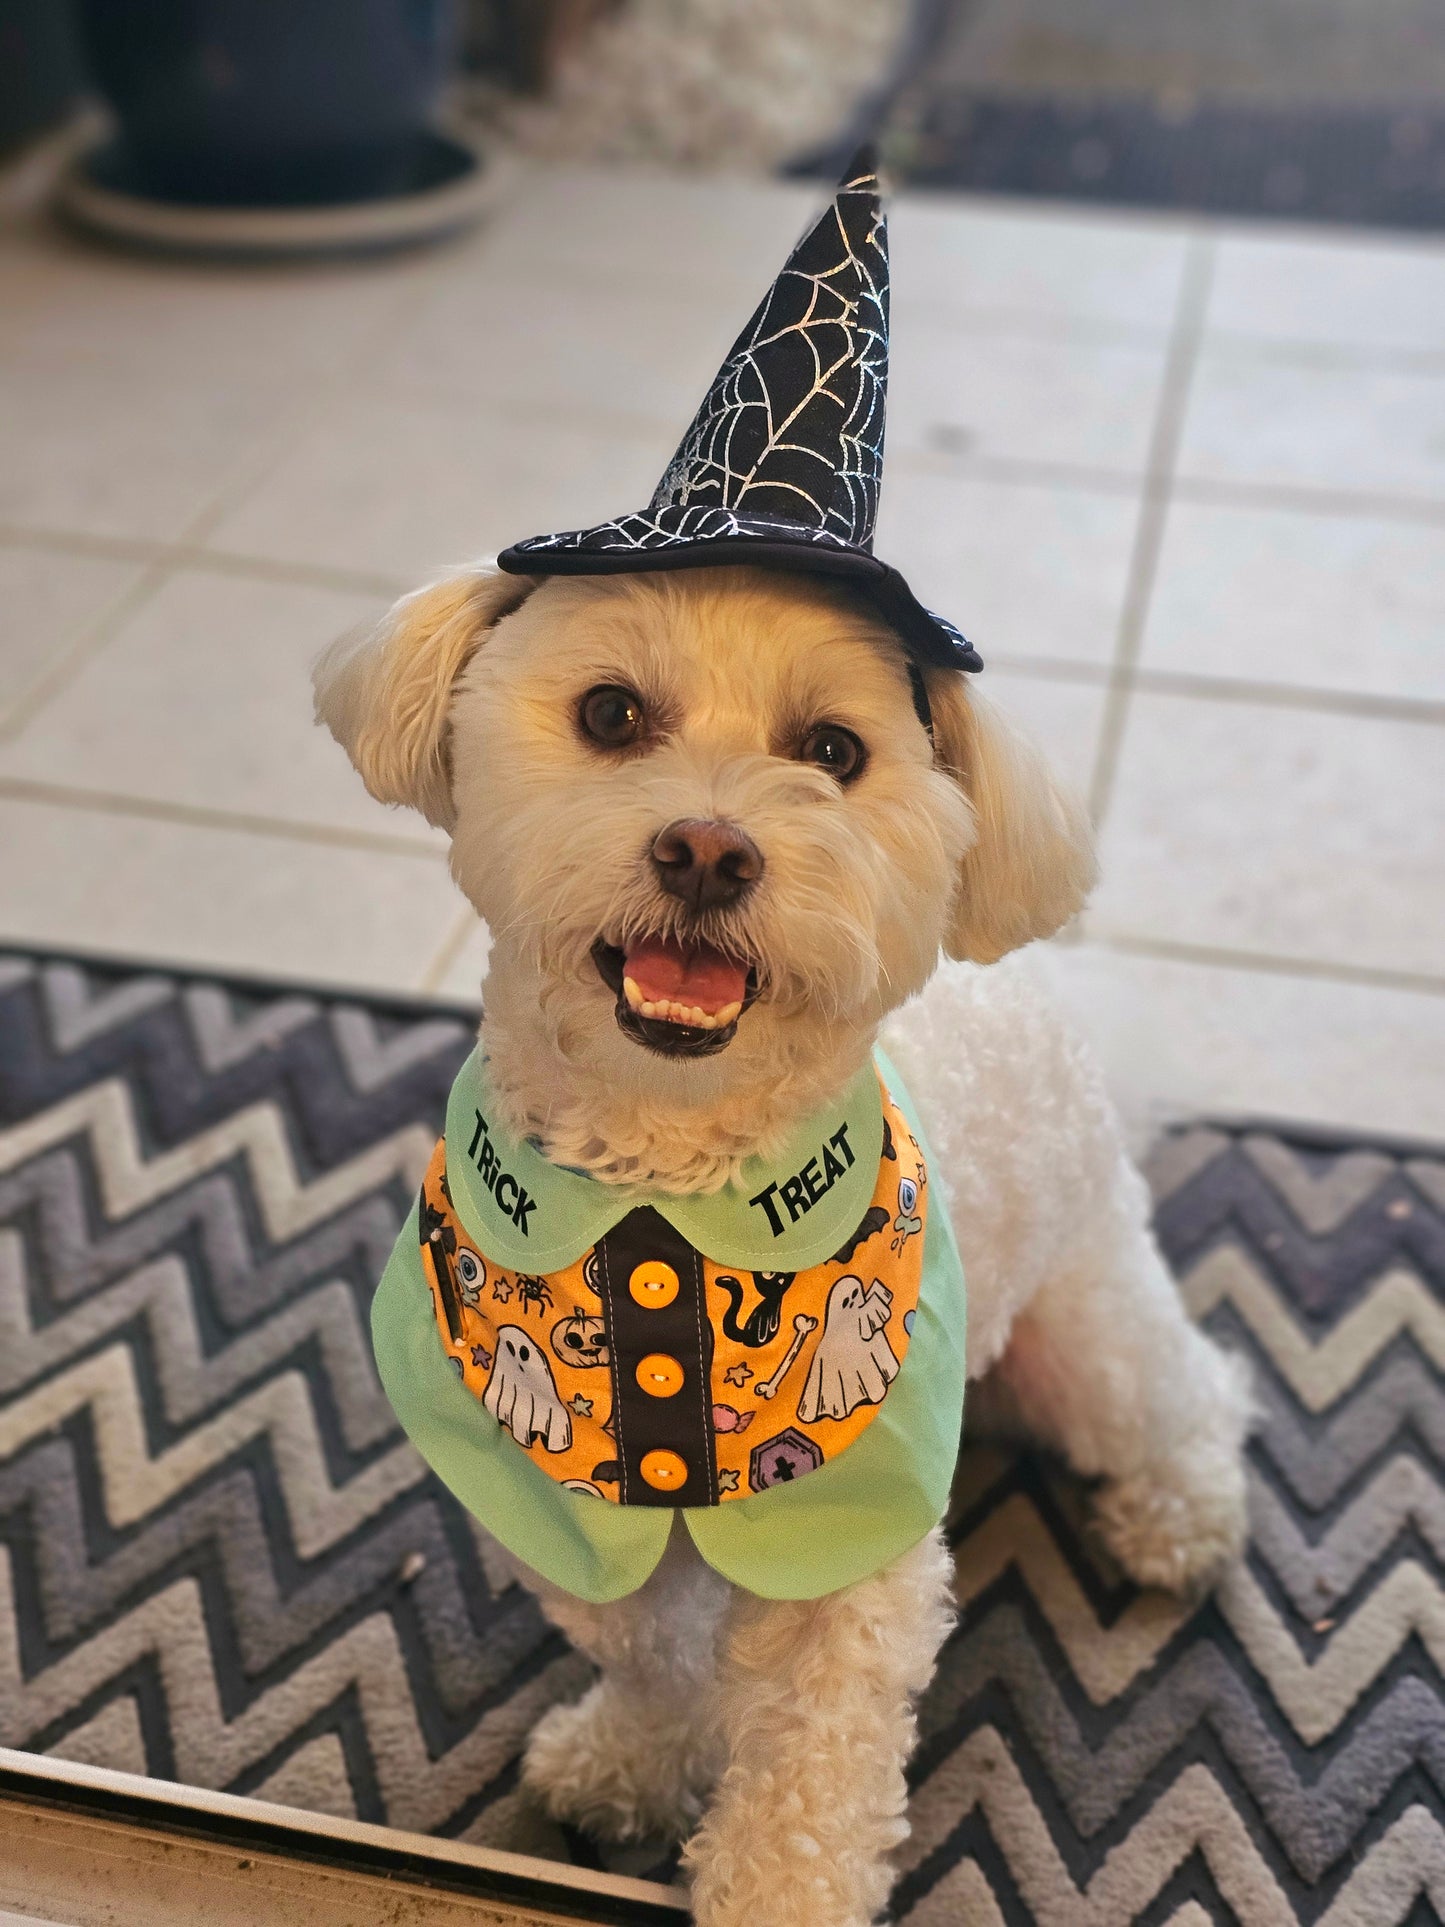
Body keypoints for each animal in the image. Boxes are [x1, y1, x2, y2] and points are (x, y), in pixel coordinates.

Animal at [319, 562, 1256, 1927]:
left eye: (831, 750)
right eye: (609, 713)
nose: (708, 850)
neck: (663, 1193)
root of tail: (1056, 999)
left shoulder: (847, 1548)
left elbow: (808, 1782)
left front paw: (764, 1873)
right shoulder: (556, 1502)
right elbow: (647, 1646)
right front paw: (633, 1757)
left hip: (1083, 1326)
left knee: (1186, 1389)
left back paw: (1181, 1514)